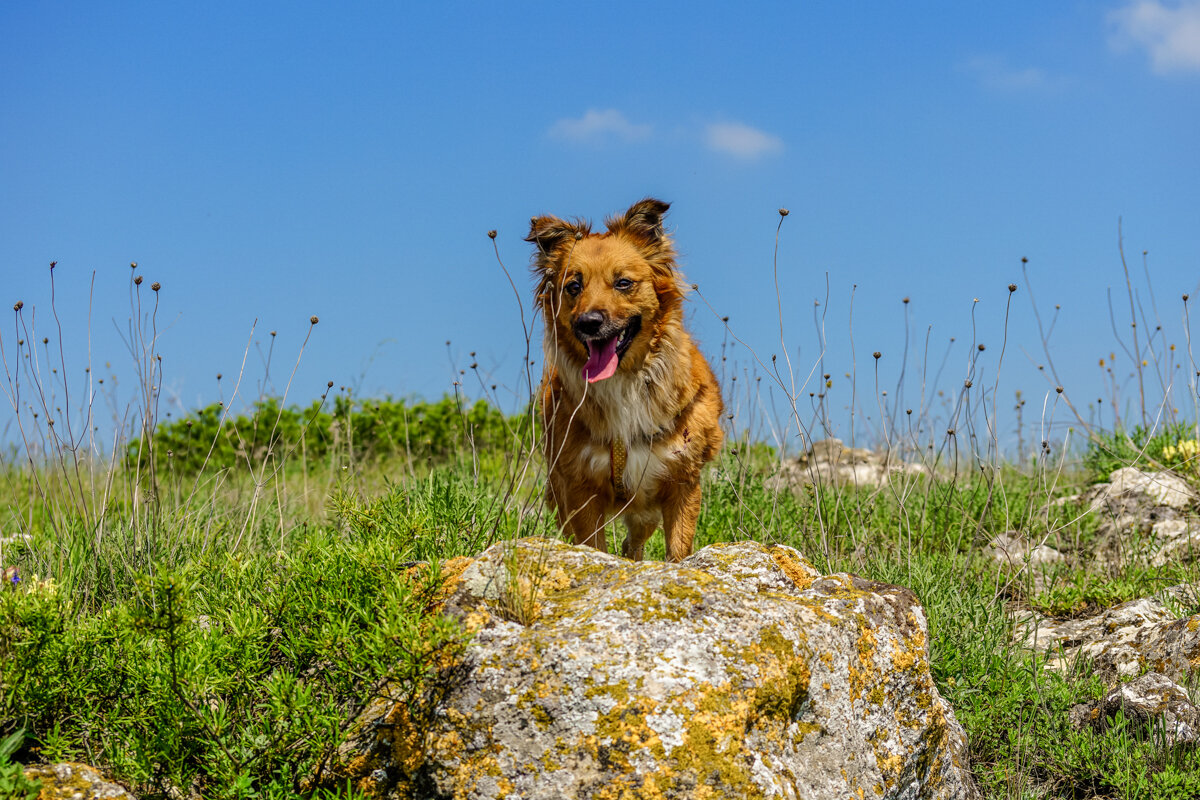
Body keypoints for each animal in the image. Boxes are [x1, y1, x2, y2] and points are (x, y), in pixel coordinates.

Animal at [525, 199, 720, 563]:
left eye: (623, 283)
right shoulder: (580, 489)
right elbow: (592, 548)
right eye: (574, 286)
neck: (625, 382)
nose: (589, 322)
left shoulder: (682, 482)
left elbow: (678, 550)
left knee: (635, 541)